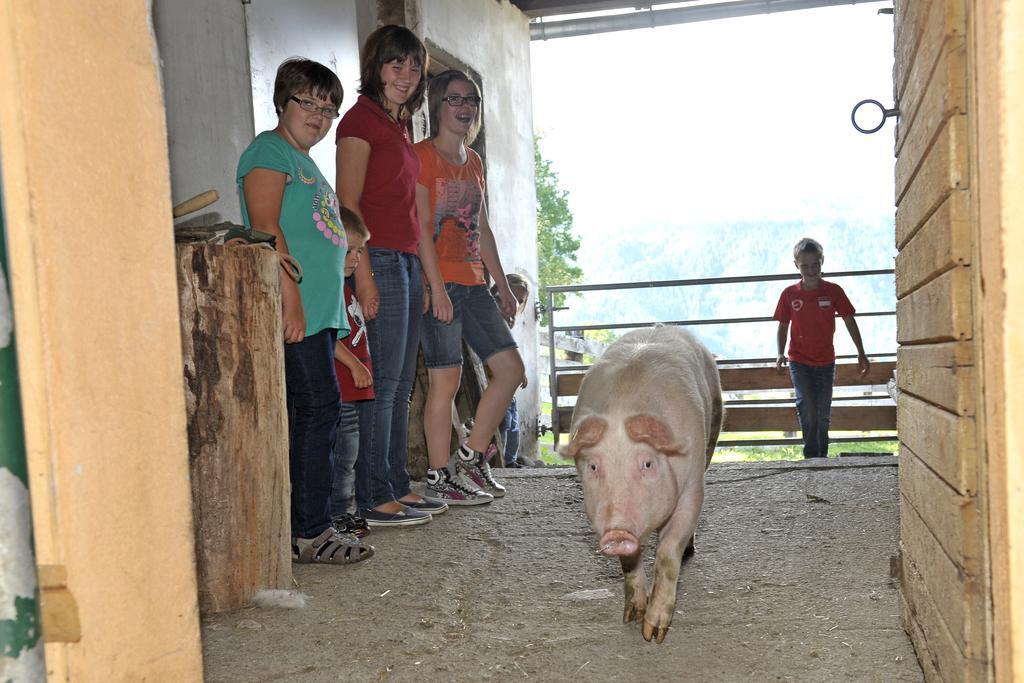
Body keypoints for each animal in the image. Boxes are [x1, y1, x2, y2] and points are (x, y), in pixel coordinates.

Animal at [565, 325, 724, 643]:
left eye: (648, 464)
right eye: (593, 466)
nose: (616, 533)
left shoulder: (692, 488)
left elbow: (667, 552)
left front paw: (653, 634)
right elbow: (630, 561)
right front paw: (633, 616)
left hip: (715, 423)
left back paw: (690, 550)